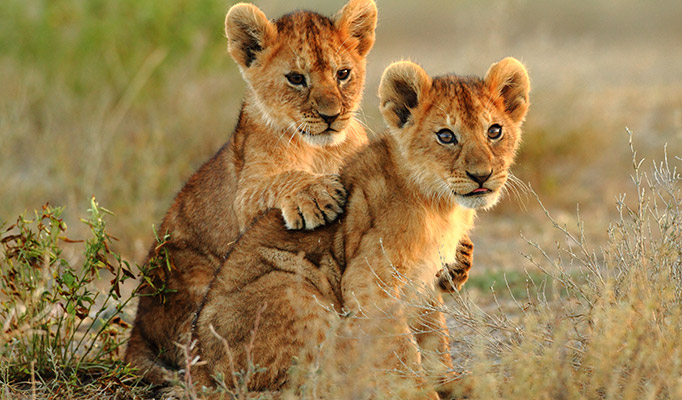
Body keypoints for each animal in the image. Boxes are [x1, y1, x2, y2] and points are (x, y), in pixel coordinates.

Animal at [191, 57, 531, 399]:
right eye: (446, 136)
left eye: (494, 131)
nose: (482, 175)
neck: (441, 206)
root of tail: (199, 367)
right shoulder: (369, 279)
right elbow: (401, 346)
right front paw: (419, 391)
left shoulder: (423, 280)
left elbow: (433, 336)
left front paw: (449, 380)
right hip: (291, 286)